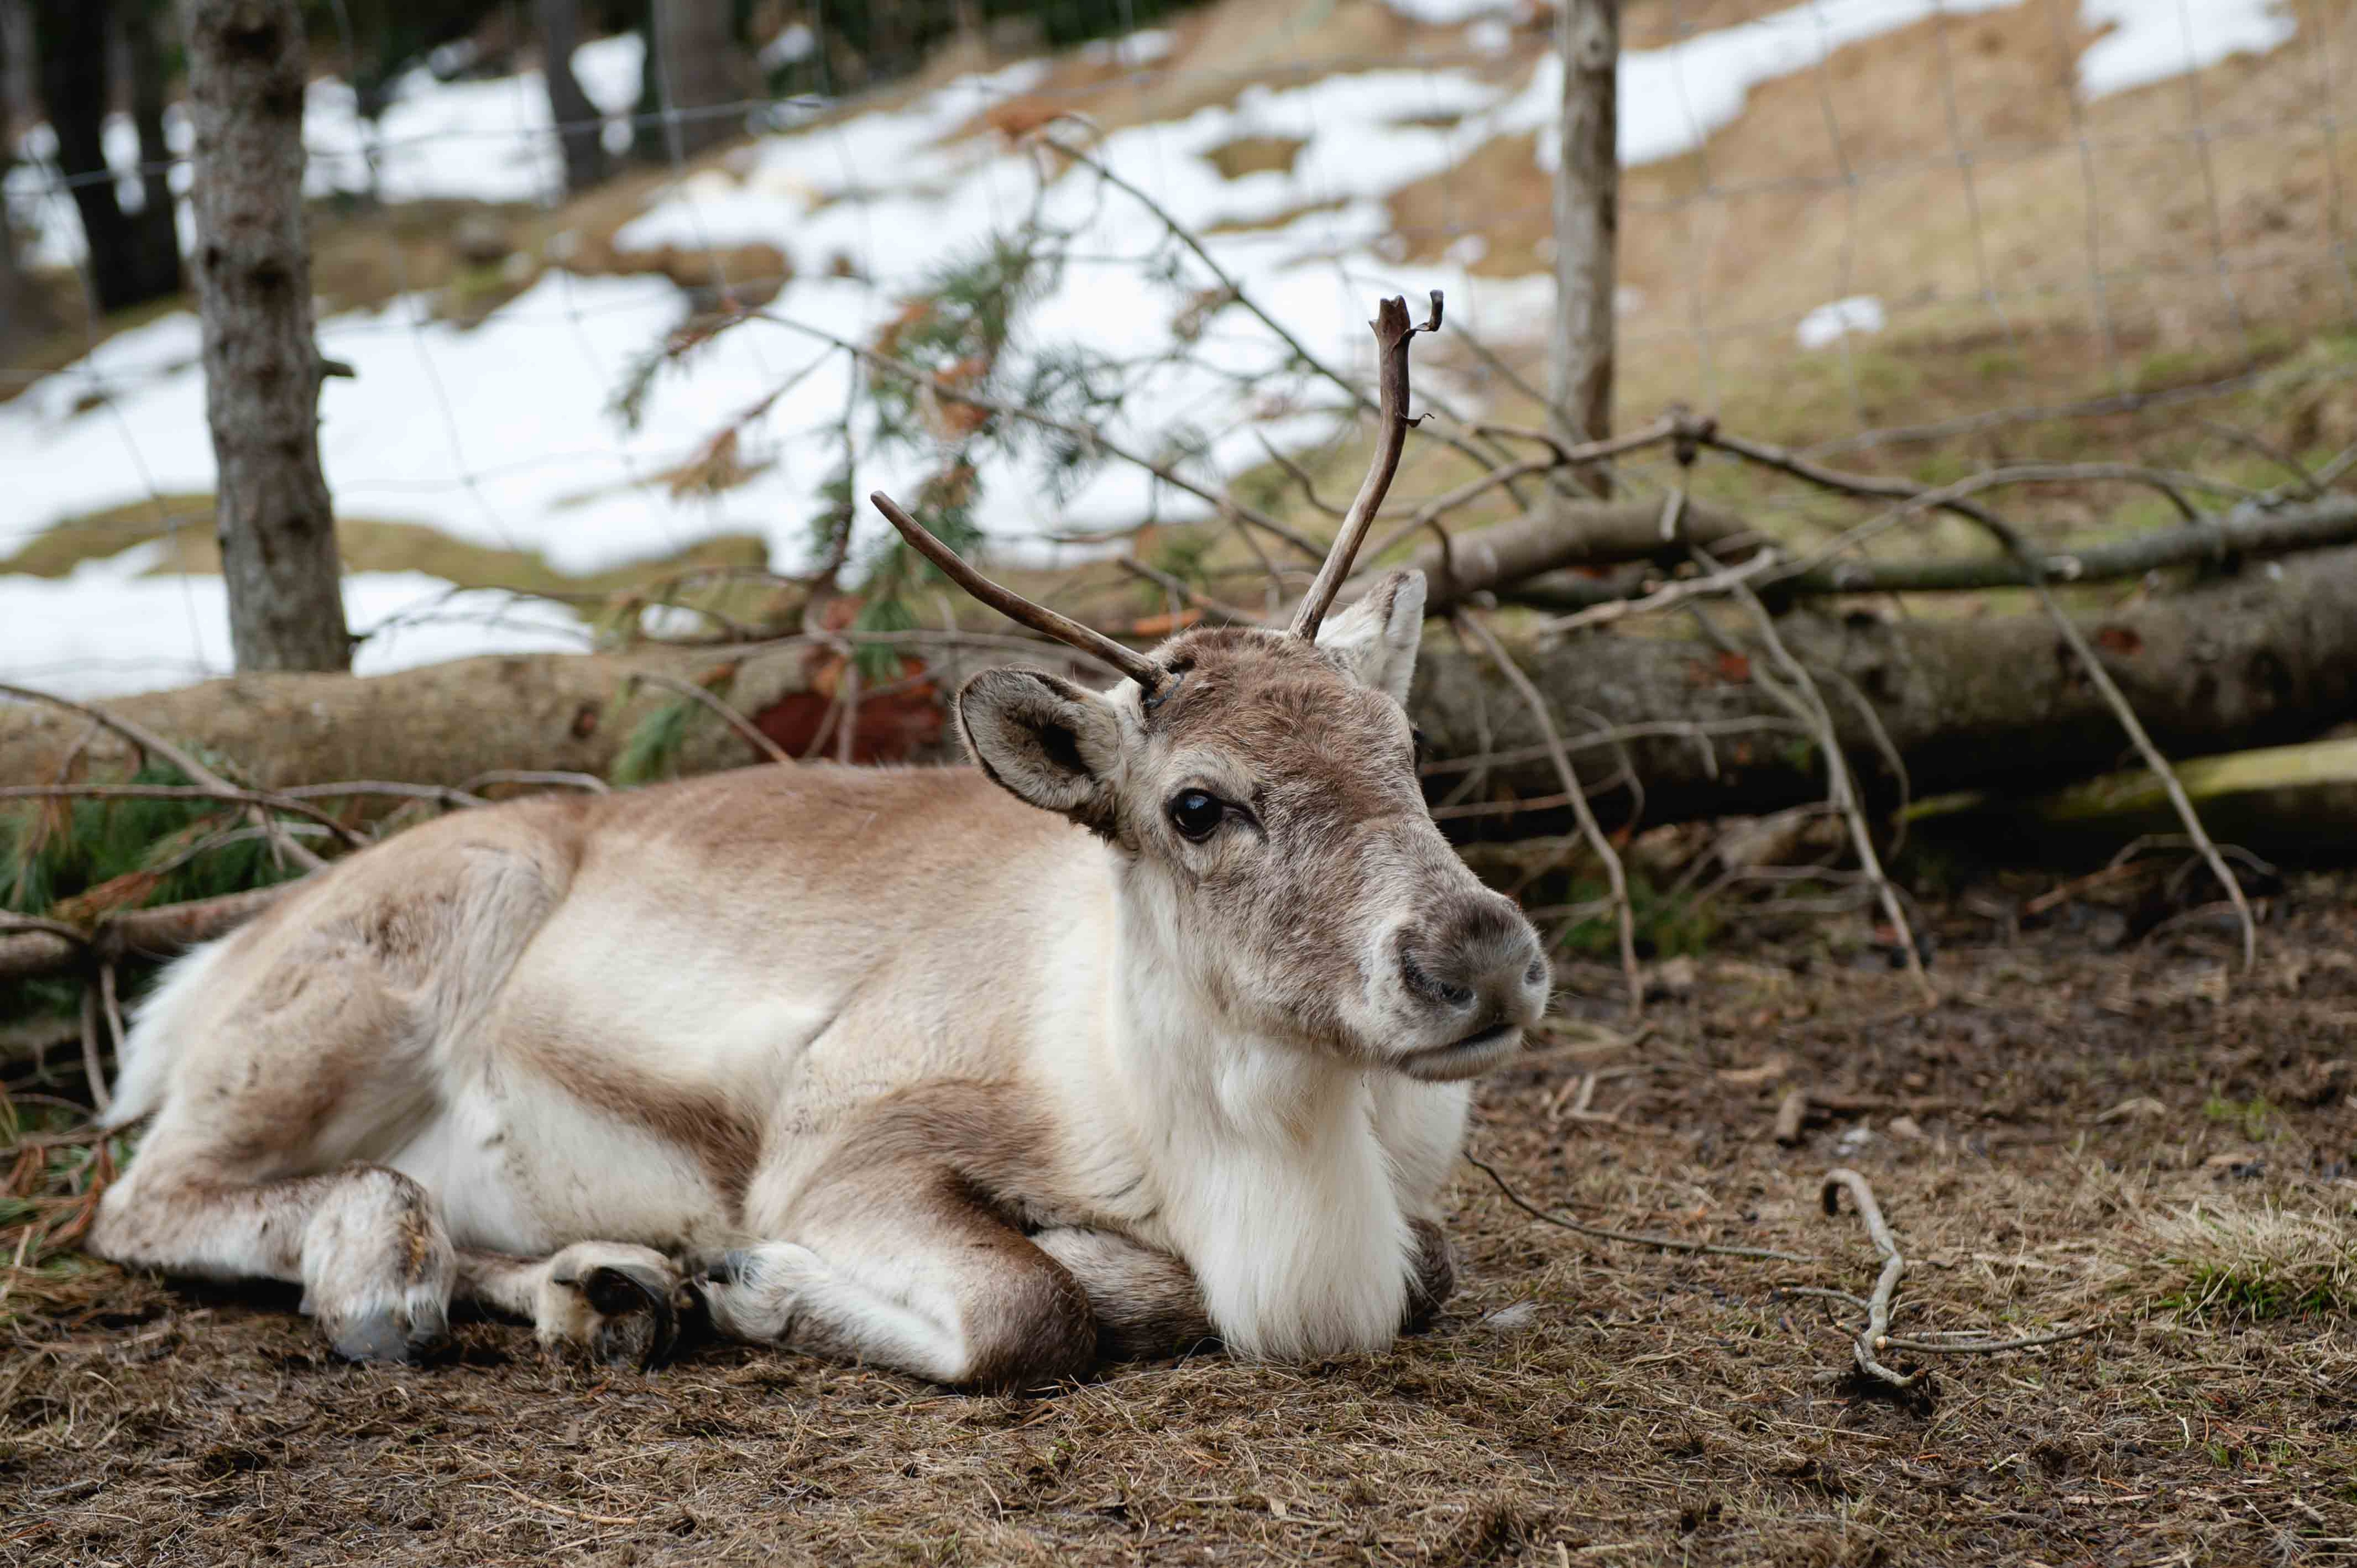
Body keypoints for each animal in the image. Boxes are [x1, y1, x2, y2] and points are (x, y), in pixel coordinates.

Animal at [85, 294, 1552, 1387]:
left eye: (1405, 741)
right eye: (1196, 804)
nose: (1480, 955)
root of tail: (211, 962)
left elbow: (1433, 1268)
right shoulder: (842, 1138)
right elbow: (1030, 1306)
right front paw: (758, 1279)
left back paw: (605, 1287)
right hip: (365, 983)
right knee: (146, 1197)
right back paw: (390, 1277)